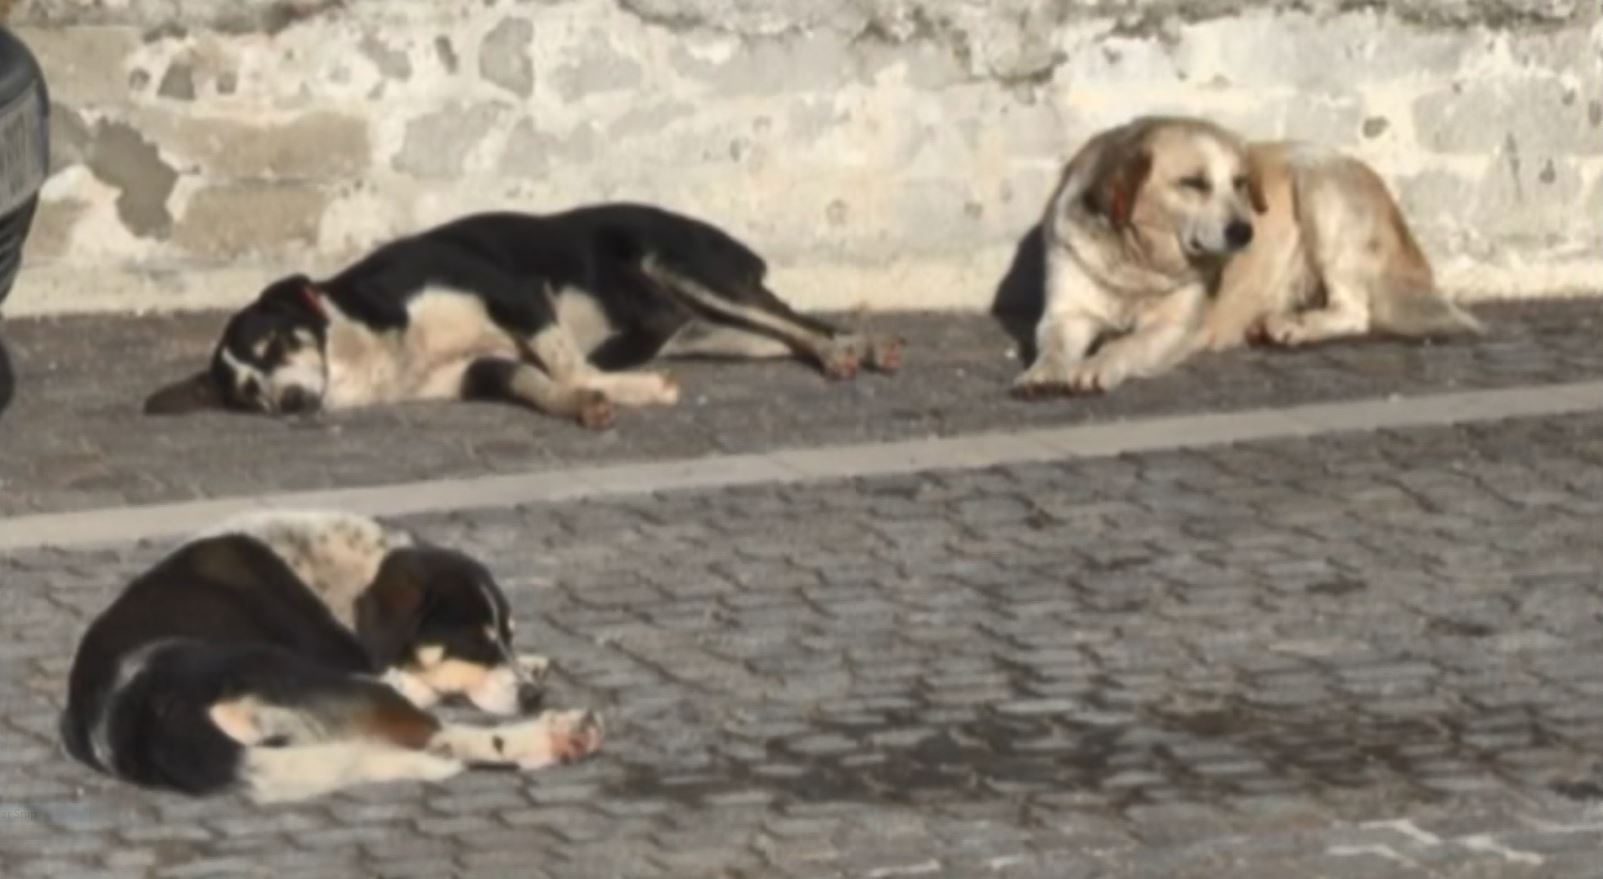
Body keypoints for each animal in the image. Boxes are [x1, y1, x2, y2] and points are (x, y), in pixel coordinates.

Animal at [60, 506, 602, 802]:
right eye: (475, 642)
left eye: (505, 635)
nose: (532, 697)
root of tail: (144, 716)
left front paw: (531, 662)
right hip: (316, 678)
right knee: (446, 739)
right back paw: (559, 734)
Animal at [142, 203, 904, 429]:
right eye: (249, 395)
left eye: (274, 344)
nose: (292, 404)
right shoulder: (482, 371)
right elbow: (541, 383)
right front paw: (584, 404)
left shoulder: (512, 291)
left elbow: (566, 361)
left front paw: (620, 390)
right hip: (716, 334)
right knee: (784, 334)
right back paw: (854, 349)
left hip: (688, 271)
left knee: (794, 320)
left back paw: (849, 350)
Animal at [1019, 114, 1481, 396]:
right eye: (1193, 183)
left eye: (1240, 183)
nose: (1244, 232)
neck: (1137, 262)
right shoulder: (1065, 314)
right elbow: (1053, 345)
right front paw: (1044, 372)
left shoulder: (1172, 327)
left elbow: (1126, 345)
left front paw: (1097, 364)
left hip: (1317, 184)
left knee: (1354, 311)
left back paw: (1295, 326)